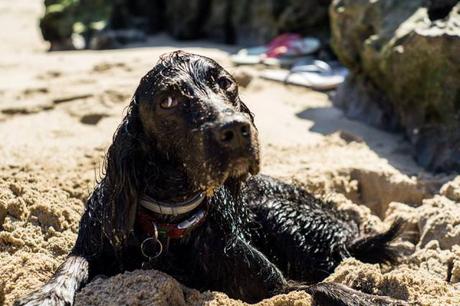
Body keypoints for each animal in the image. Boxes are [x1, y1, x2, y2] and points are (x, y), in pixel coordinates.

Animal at [14, 51, 406, 304]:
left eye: (226, 83)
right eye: (168, 100)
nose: (236, 129)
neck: (170, 222)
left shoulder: (274, 283)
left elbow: (322, 288)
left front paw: (373, 299)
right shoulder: (94, 239)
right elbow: (72, 264)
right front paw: (47, 294)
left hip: (276, 212)